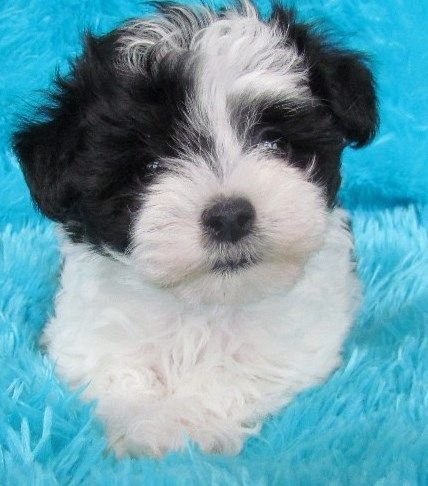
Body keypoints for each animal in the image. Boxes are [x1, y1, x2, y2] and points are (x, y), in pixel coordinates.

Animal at [12, 0, 378, 456]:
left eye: (275, 143)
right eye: (149, 168)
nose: (229, 216)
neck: (204, 304)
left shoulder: (296, 342)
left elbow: (237, 373)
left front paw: (180, 424)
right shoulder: (86, 334)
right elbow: (117, 372)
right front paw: (144, 426)